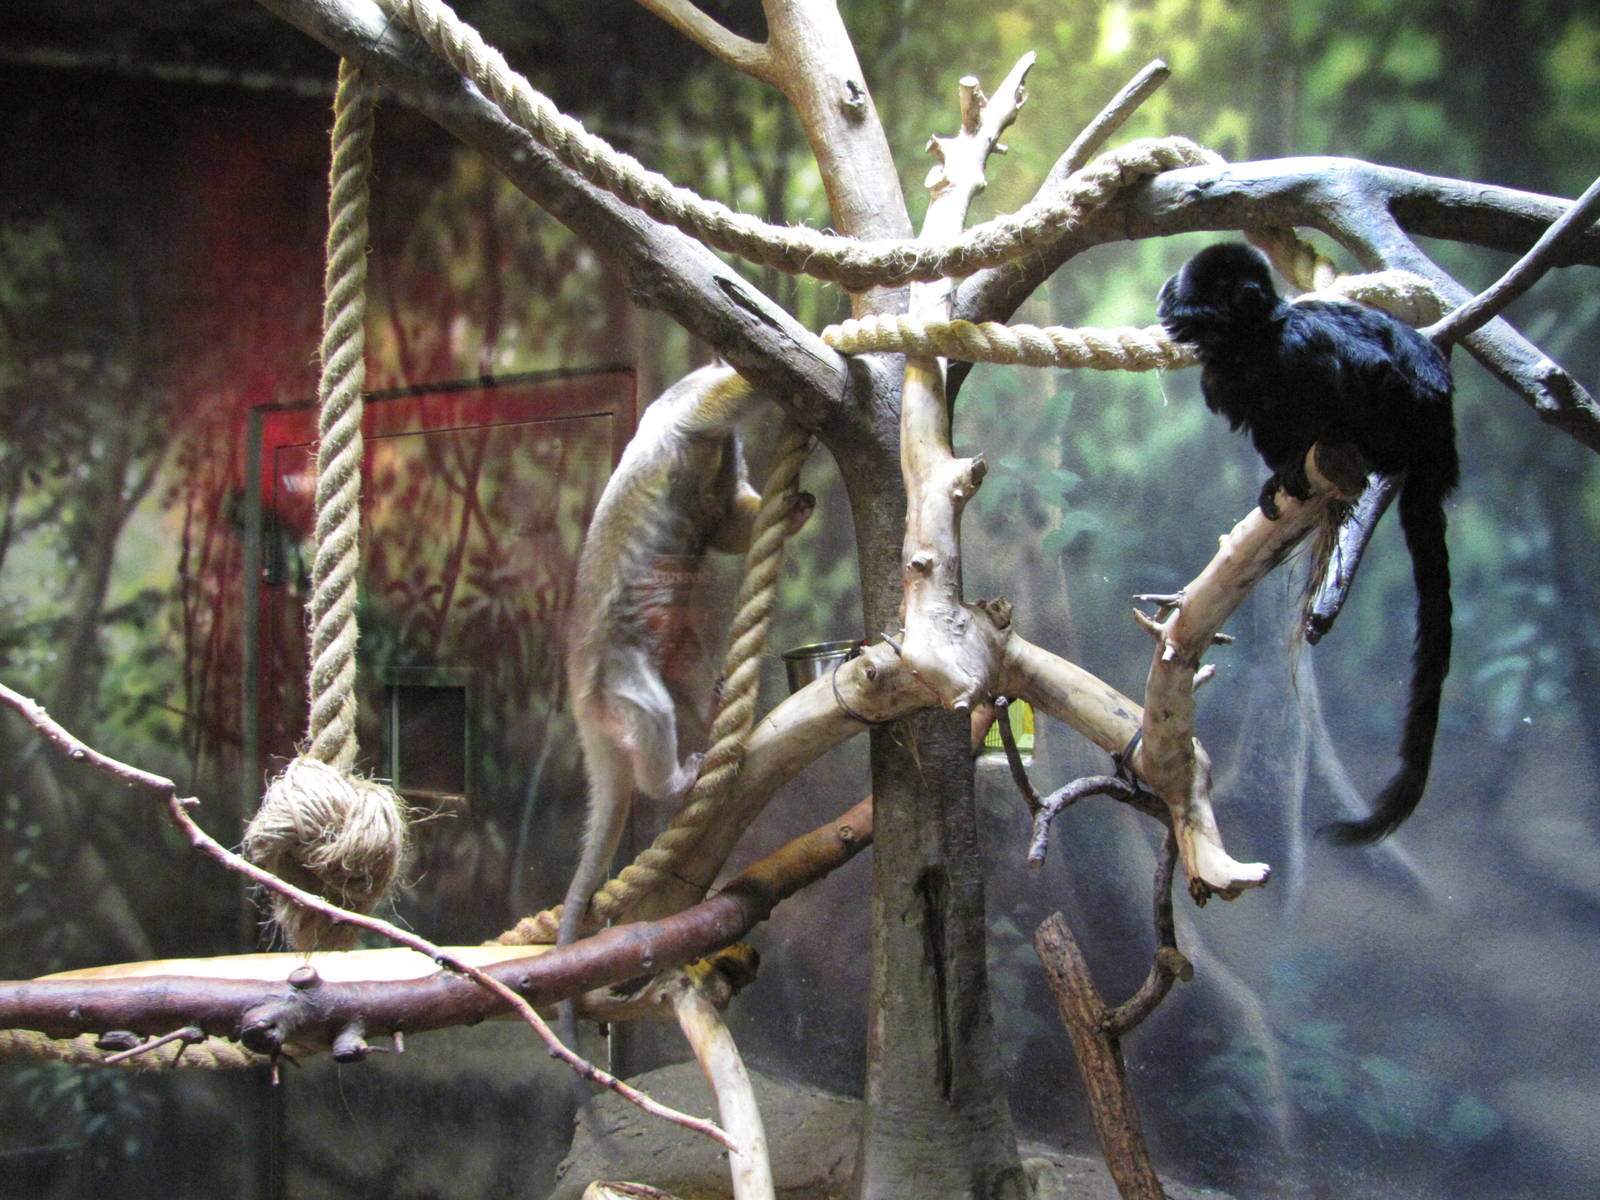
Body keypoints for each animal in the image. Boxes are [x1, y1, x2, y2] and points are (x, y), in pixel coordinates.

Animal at [560, 364, 813, 968]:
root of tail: (582, 697)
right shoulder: (684, 408)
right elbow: (715, 408)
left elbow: (730, 525)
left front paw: (794, 506)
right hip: (616, 672)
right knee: (650, 711)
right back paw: (671, 781)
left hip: (665, 648)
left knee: (689, 664)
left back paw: (714, 701)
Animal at [1157, 242, 1458, 844]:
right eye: (1188, 291)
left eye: (1202, 295)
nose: (1168, 299)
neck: (1253, 345)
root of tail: (1439, 440)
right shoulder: (1226, 380)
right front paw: (1279, 477)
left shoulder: (1299, 345)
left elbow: (1369, 368)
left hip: (1405, 416)